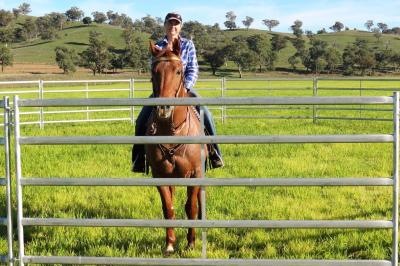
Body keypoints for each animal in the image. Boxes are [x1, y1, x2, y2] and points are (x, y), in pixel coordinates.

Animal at [145, 40, 206, 256]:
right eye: (154, 71)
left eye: (179, 71)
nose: (164, 109)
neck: (171, 132)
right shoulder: (160, 176)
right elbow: (168, 208)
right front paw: (170, 244)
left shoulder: (195, 174)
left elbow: (191, 208)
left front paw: (190, 243)